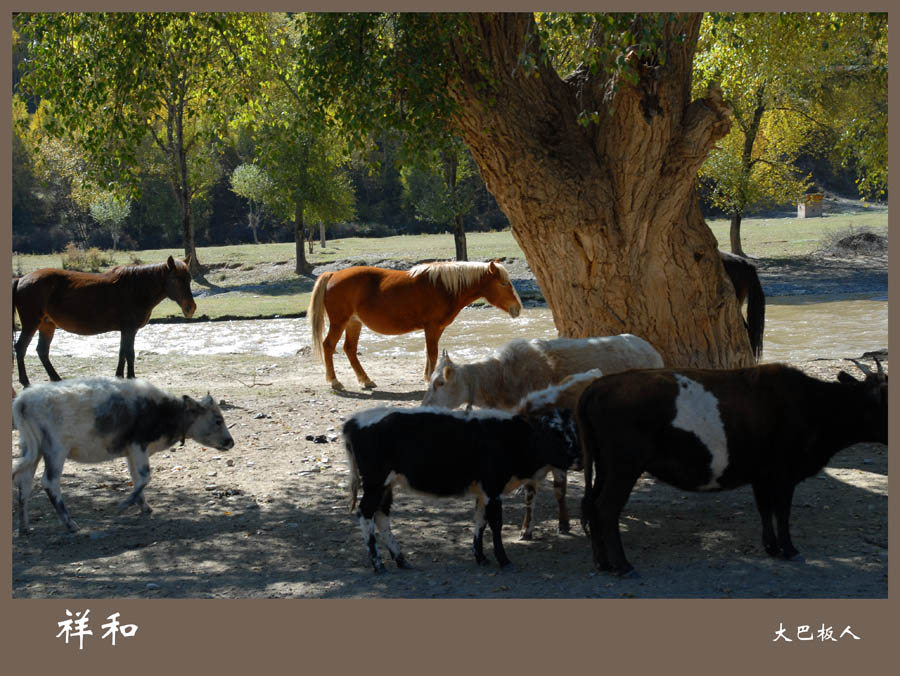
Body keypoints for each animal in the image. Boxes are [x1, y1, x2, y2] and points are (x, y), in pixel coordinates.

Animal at [12, 256, 196, 388]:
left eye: (189, 278)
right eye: (176, 279)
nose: (191, 308)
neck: (137, 288)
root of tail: (21, 279)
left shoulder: (126, 330)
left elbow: (123, 353)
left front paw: (120, 377)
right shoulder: (129, 329)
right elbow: (129, 353)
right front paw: (131, 377)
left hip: (47, 325)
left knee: (42, 351)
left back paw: (56, 379)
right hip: (31, 324)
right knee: (21, 348)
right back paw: (26, 383)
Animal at [12, 374, 234, 532]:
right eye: (218, 420)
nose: (230, 442)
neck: (162, 409)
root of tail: (24, 399)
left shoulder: (131, 452)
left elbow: (136, 478)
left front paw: (144, 506)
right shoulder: (138, 446)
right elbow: (145, 477)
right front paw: (124, 505)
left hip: (33, 450)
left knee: (25, 483)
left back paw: (24, 527)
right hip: (55, 451)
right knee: (49, 483)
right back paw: (70, 524)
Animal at [308, 262, 524, 394]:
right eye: (503, 283)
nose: (517, 308)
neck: (442, 287)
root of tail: (333, 274)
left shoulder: (436, 329)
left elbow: (430, 353)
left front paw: (428, 377)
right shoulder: (432, 327)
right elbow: (433, 353)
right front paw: (431, 379)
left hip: (354, 323)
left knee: (350, 349)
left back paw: (365, 380)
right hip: (340, 321)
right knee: (329, 346)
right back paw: (334, 381)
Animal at [342, 404, 580, 572]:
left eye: (573, 430)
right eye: (554, 433)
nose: (578, 458)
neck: (509, 438)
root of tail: (354, 420)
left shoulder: (483, 493)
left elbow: (480, 521)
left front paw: (481, 557)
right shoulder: (493, 489)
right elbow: (495, 524)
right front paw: (503, 559)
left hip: (386, 486)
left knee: (381, 516)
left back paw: (401, 559)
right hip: (375, 484)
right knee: (365, 514)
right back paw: (378, 563)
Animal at [576, 360, 884, 576]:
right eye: (883, 399)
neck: (812, 404)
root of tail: (599, 384)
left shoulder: (762, 476)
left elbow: (766, 510)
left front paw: (772, 548)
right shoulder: (784, 475)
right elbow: (783, 513)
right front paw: (789, 549)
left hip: (605, 467)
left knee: (590, 504)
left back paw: (603, 564)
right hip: (624, 467)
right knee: (606, 508)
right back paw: (622, 566)